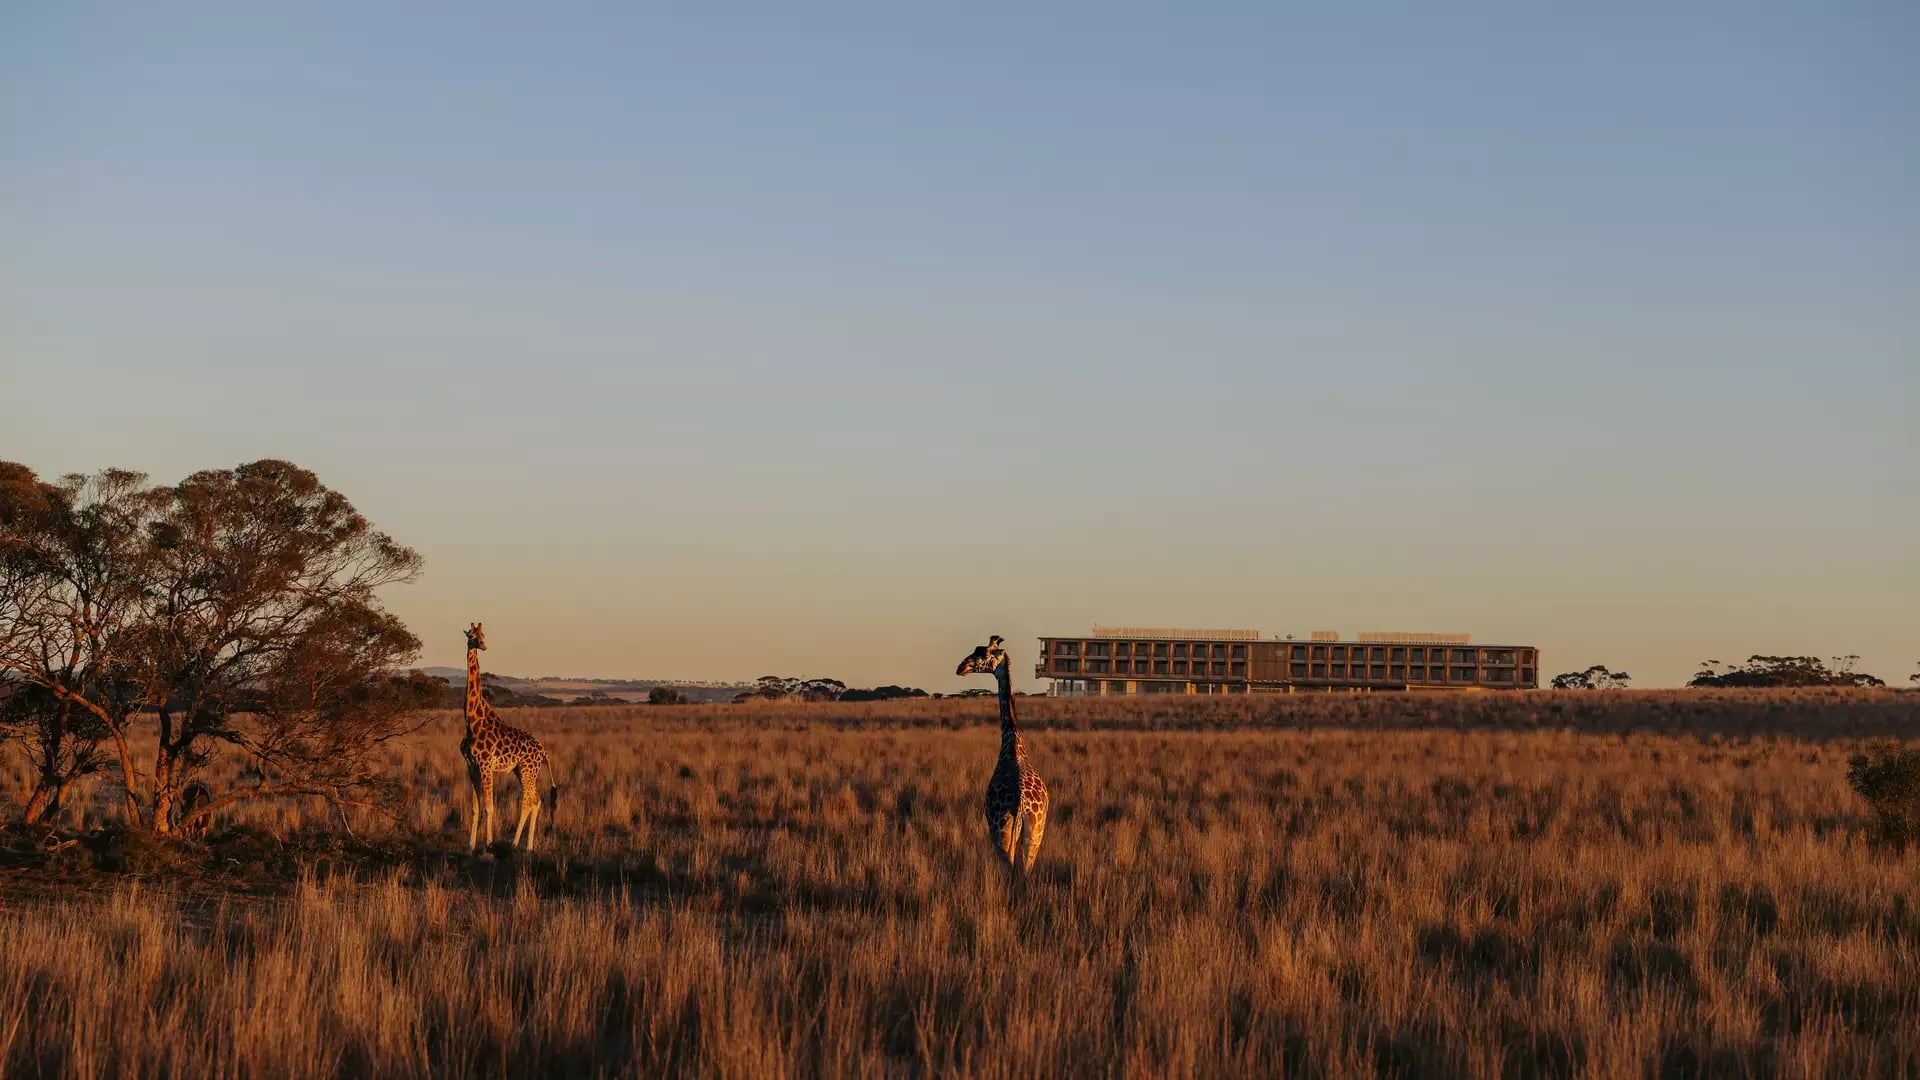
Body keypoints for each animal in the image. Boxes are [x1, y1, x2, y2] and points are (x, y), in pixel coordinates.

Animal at [460, 623, 559, 852]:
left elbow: (489, 807)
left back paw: (515, 843)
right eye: (472, 636)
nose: (483, 646)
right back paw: (528, 846)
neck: (472, 721)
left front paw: (488, 843)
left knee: (529, 800)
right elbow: (475, 808)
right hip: (520, 770)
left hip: (528, 770)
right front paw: (470, 845)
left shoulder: (486, 765)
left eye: (483, 635)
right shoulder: (471, 766)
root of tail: (543, 751)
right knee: (536, 800)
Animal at [956, 635, 1049, 874]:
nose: (961, 667)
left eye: (984, 653)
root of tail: (1022, 806)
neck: (1013, 742)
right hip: (1034, 837)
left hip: (1002, 836)